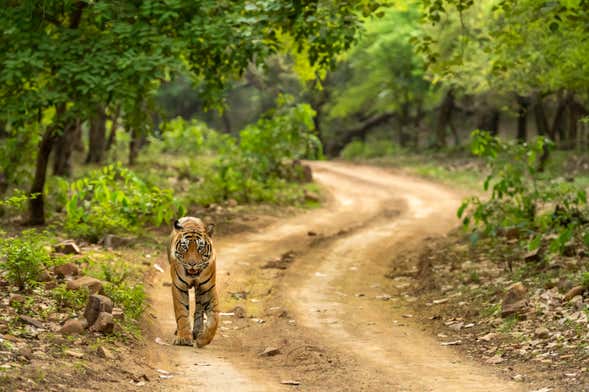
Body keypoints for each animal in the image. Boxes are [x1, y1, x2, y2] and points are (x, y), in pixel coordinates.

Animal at [167, 216, 219, 348]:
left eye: (200, 247)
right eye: (184, 247)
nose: (192, 263)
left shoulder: (208, 288)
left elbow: (214, 317)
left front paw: (203, 339)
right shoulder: (178, 287)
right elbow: (181, 312)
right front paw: (184, 338)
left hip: (200, 290)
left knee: (199, 308)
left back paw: (198, 330)